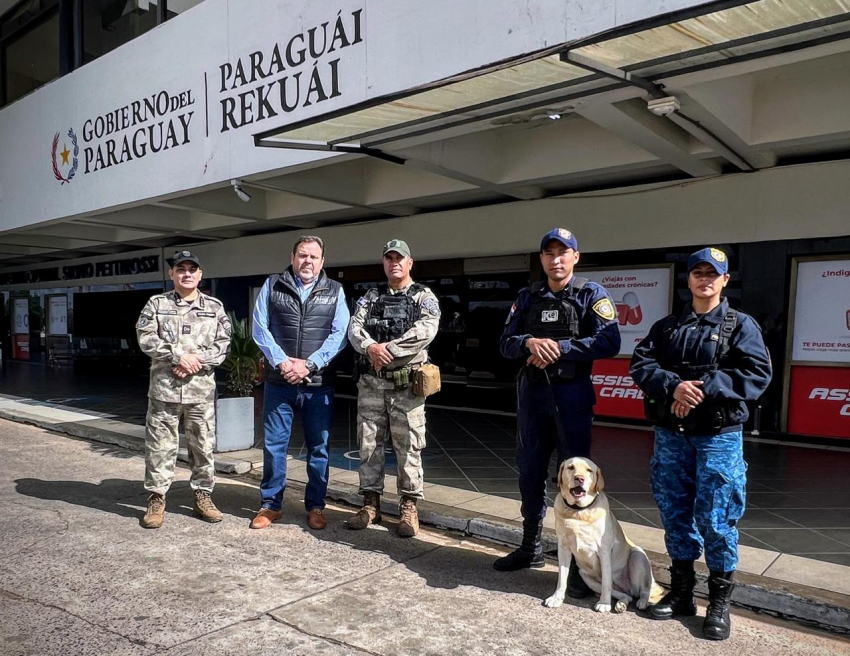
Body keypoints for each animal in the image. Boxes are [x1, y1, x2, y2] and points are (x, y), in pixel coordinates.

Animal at [544, 458, 664, 612]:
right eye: (571, 467)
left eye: (589, 470)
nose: (579, 478)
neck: (578, 512)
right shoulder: (563, 548)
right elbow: (562, 578)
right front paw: (556, 598)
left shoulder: (604, 551)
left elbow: (606, 582)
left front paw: (605, 604)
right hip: (587, 577)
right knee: (627, 595)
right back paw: (621, 604)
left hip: (638, 556)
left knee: (644, 590)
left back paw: (642, 602)